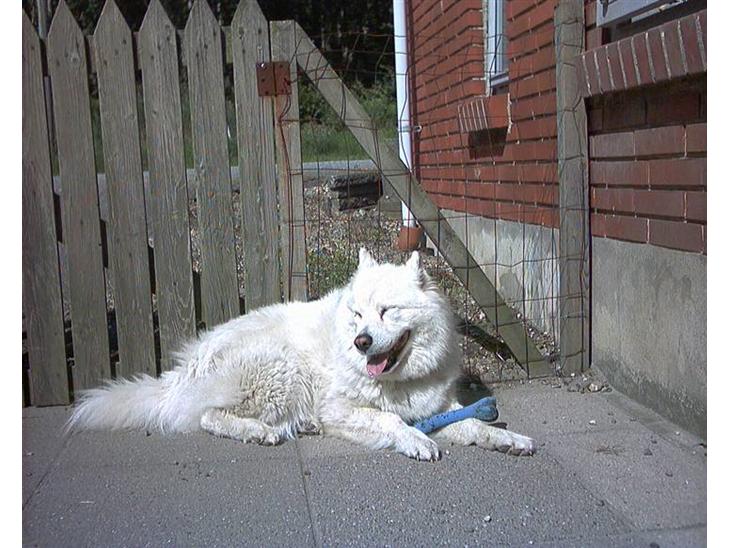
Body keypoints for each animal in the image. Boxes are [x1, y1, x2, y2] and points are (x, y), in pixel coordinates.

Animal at [68, 249, 535, 460]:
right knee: (208, 416)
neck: (399, 380)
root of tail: (186, 368)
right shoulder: (341, 408)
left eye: (387, 311)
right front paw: (417, 440)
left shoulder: (435, 407)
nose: (361, 342)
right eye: (358, 314)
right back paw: (259, 431)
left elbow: (473, 422)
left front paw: (508, 438)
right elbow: (389, 421)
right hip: (281, 368)